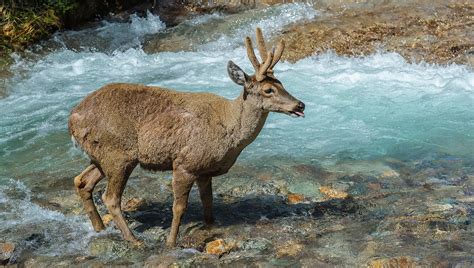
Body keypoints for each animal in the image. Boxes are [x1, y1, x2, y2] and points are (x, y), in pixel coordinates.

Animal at [69, 27, 308, 247]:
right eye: (268, 90)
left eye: (282, 84)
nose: (300, 104)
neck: (230, 133)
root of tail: (72, 119)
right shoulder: (185, 163)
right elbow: (179, 207)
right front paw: (171, 242)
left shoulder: (204, 169)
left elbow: (208, 203)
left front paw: (210, 227)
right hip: (119, 153)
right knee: (110, 198)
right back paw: (134, 240)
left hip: (101, 155)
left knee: (81, 181)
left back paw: (100, 228)